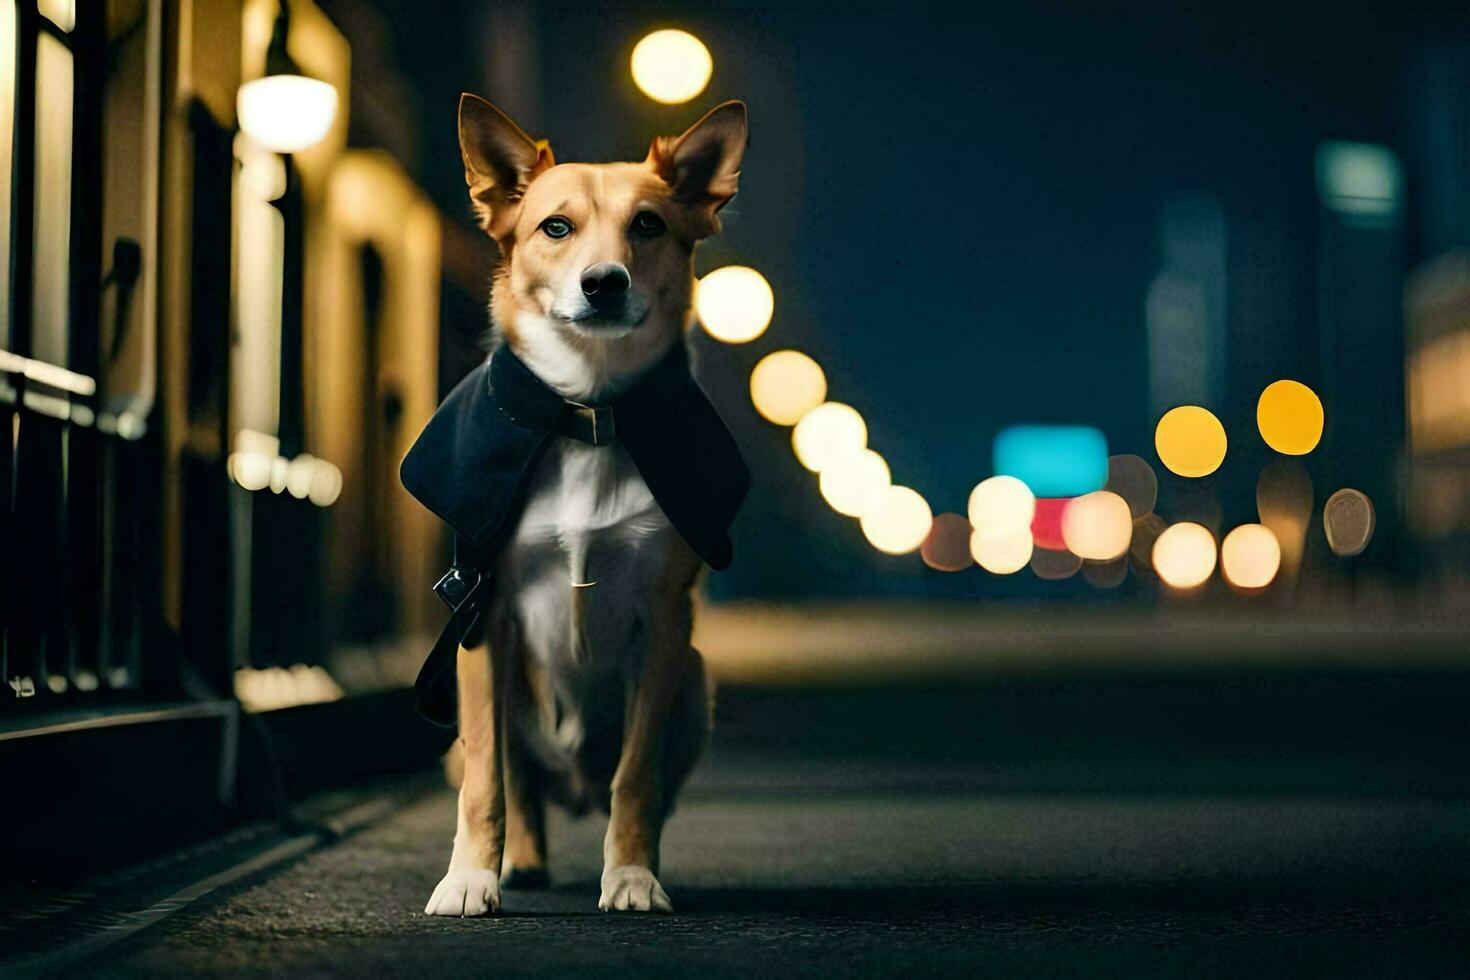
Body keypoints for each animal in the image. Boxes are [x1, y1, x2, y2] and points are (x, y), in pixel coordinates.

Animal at [423, 95, 746, 916]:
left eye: (649, 225)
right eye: (555, 227)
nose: (605, 282)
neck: (588, 410)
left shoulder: (664, 623)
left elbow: (637, 778)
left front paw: (630, 875)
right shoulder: (484, 618)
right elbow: (489, 782)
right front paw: (470, 878)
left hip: (696, 683)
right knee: (514, 782)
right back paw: (519, 862)